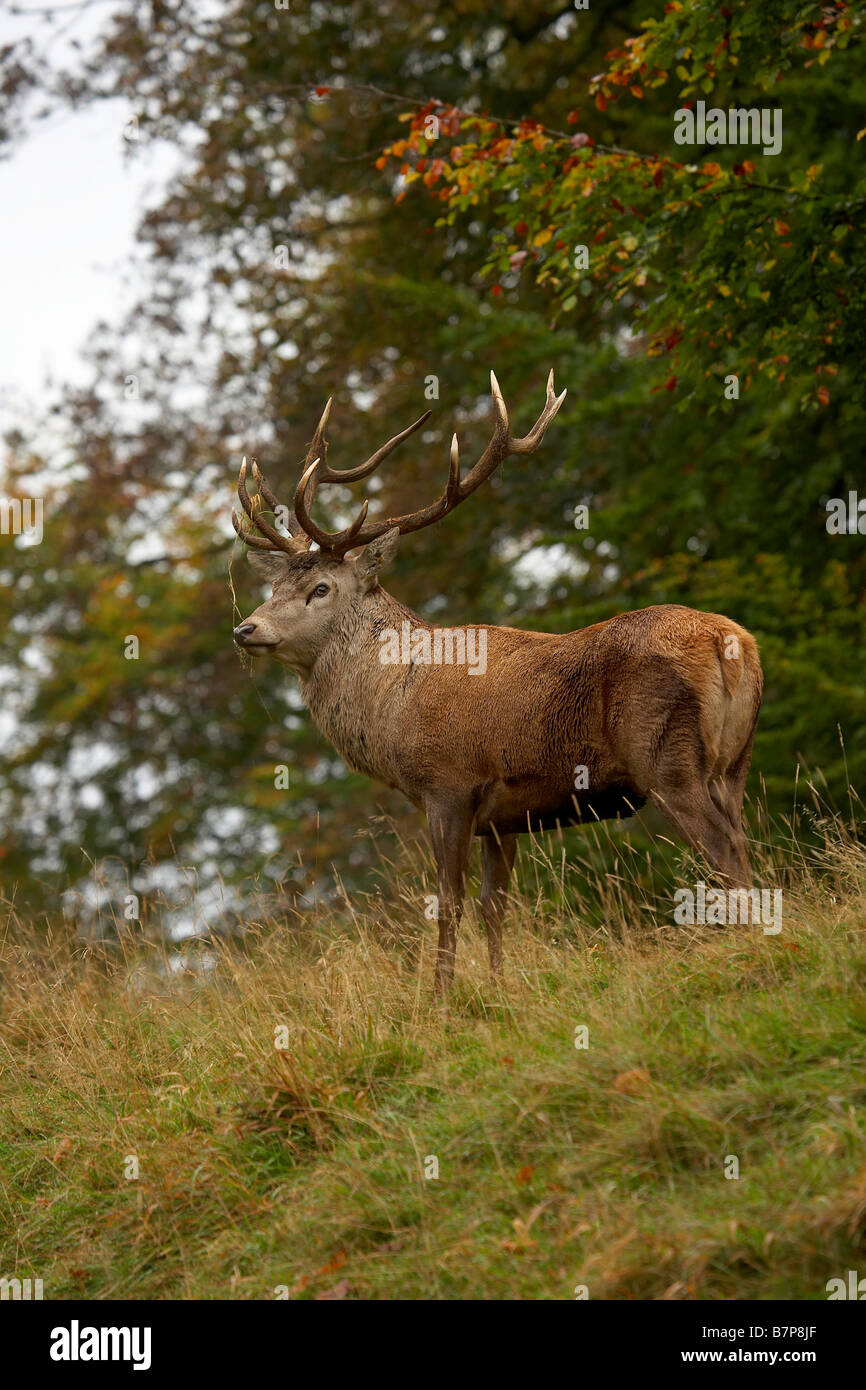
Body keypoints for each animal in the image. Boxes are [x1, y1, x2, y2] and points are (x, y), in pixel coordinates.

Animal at [231, 371, 763, 992]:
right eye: (273, 587)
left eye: (320, 588)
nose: (246, 628)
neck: (393, 705)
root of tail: (732, 644)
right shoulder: (504, 813)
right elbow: (495, 905)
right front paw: (500, 986)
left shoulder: (448, 784)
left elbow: (449, 902)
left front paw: (439, 996)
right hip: (734, 761)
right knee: (743, 839)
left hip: (665, 755)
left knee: (723, 849)